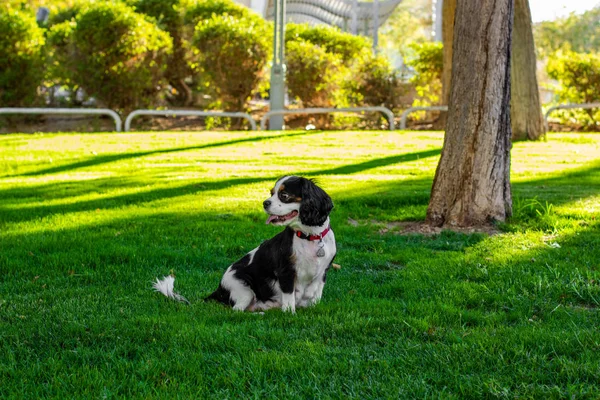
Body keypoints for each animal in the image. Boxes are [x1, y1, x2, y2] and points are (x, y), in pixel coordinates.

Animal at [152, 176, 336, 312]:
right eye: (271, 193)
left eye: (284, 196)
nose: (265, 203)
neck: (310, 236)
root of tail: (219, 289)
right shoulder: (286, 272)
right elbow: (289, 296)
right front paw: (290, 313)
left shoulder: (323, 272)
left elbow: (316, 291)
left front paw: (312, 307)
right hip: (243, 288)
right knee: (237, 311)